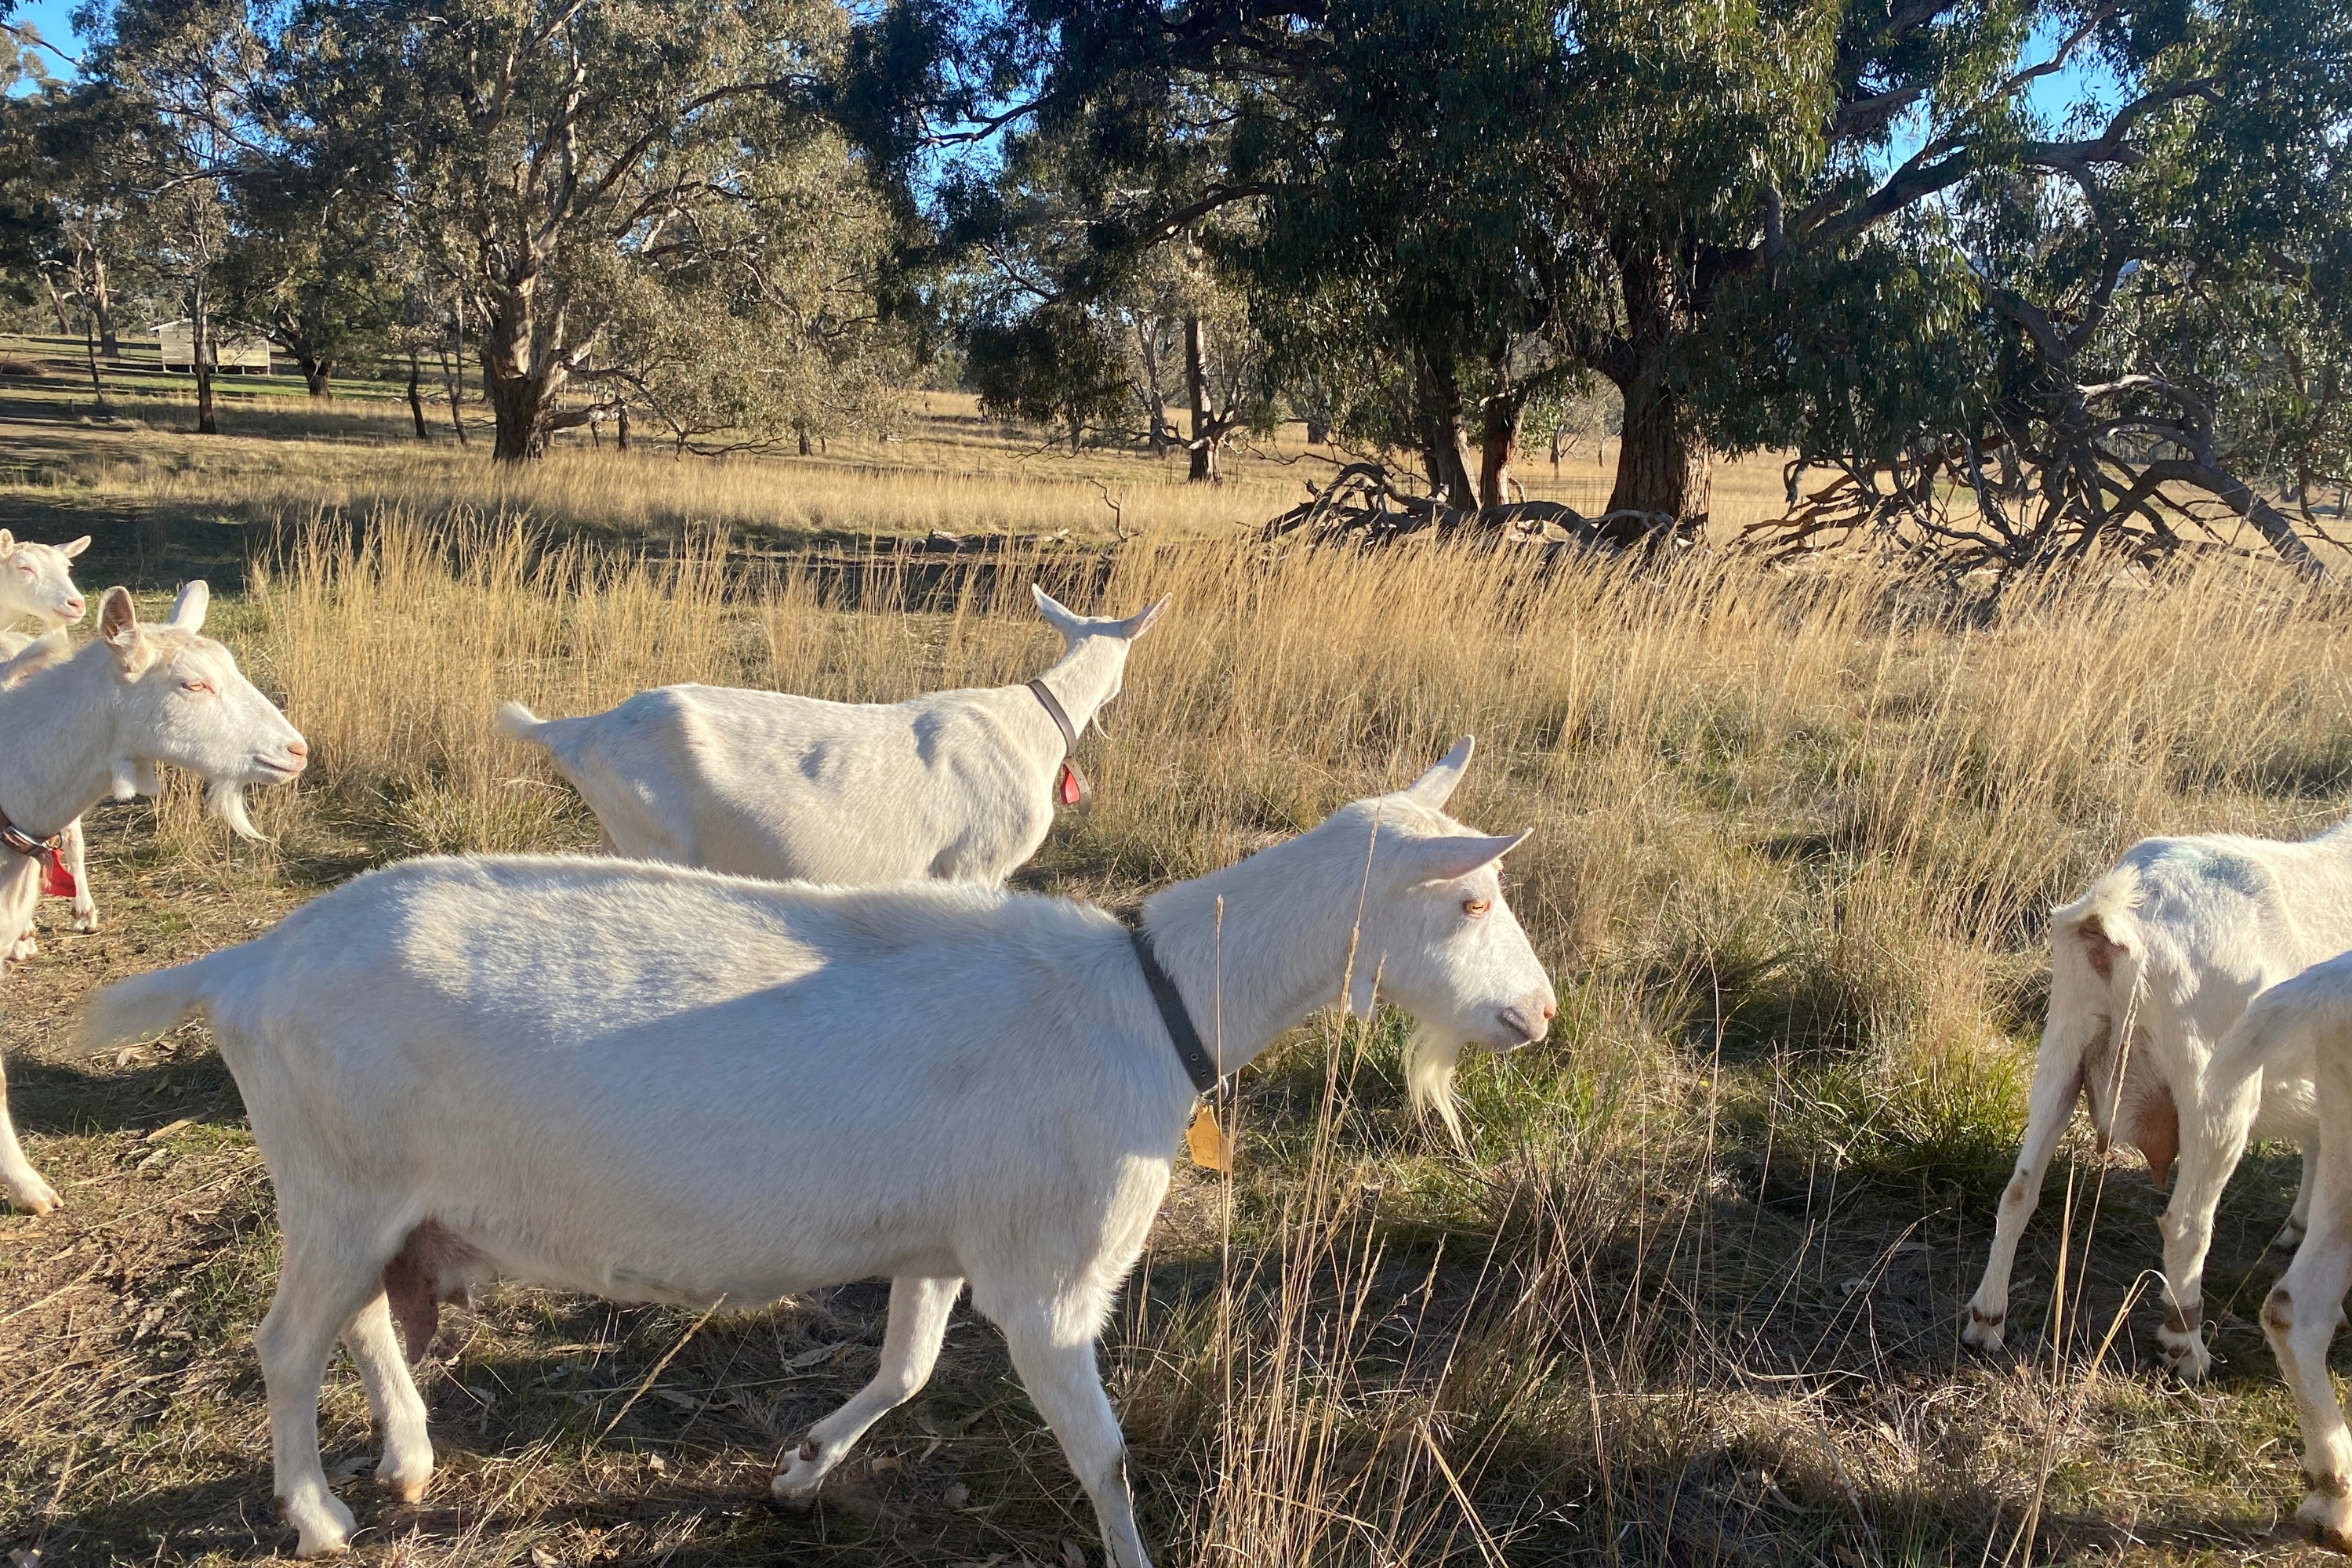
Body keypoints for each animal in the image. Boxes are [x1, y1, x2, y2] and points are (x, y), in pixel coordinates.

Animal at [76, 737, 1556, 1564]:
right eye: (1474, 898)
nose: (1540, 1016)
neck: (1156, 1000)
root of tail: (249, 963)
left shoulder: (944, 1242)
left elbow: (904, 1373)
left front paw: (799, 1471)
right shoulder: (1049, 1279)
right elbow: (1104, 1458)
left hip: (381, 1197)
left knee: (372, 1321)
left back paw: (410, 1458)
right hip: (332, 1181)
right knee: (286, 1342)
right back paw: (320, 1517)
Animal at [1962, 818, 2352, 1378]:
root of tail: (2121, 916)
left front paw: (2298, 1225)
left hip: (2063, 1049)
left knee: (2019, 1191)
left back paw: (1987, 1319)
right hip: (2215, 1090)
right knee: (2186, 1224)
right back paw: (2186, 1347)